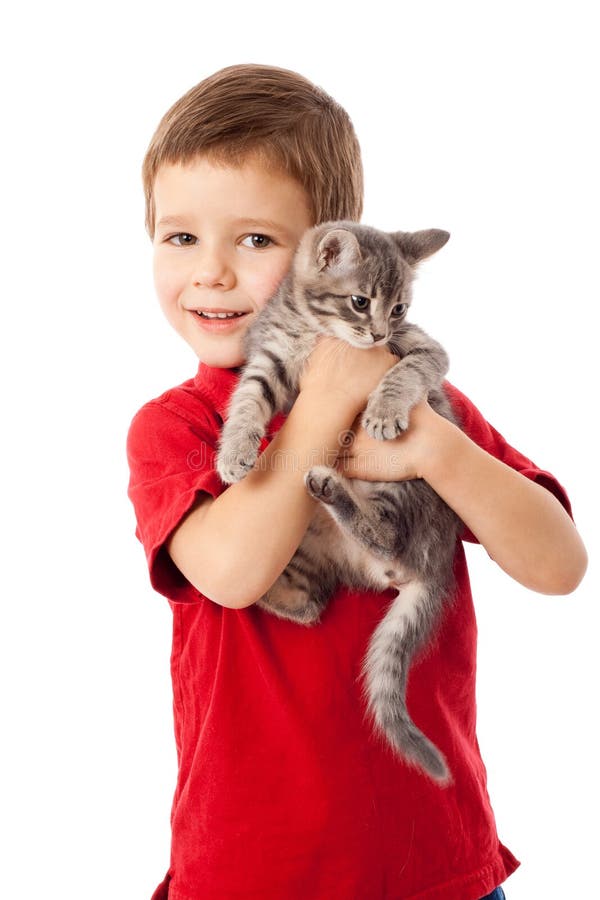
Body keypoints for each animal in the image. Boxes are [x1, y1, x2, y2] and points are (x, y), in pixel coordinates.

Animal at [218, 220, 462, 780]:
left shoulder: (423, 347)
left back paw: (335, 490)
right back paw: (249, 597)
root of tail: (432, 566)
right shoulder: (271, 358)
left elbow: (408, 371)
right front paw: (236, 449)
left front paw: (384, 410)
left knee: (386, 533)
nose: (378, 335)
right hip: (306, 539)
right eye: (359, 301)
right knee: (307, 604)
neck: (318, 332)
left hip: (405, 488)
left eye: (399, 309)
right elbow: (248, 398)